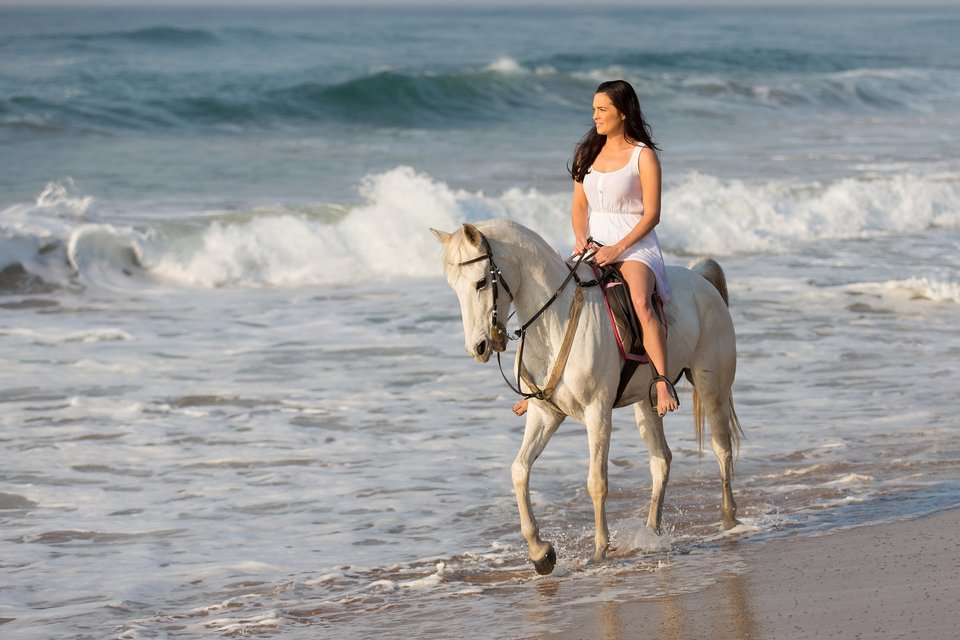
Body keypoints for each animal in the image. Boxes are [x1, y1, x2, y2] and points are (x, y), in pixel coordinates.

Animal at [431, 219, 742, 575]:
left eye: (481, 282)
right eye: (454, 287)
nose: (479, 347)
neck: (555, 320)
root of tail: (700, 279)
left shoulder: (598, 412)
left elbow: (596, 482)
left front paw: (599, 551)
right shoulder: (545, 415)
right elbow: (519, 470)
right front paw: (541, 553)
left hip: (711, 386)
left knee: (721, 448)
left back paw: (729, 521)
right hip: (645, 402)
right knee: (661, 460)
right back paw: (651, 532)